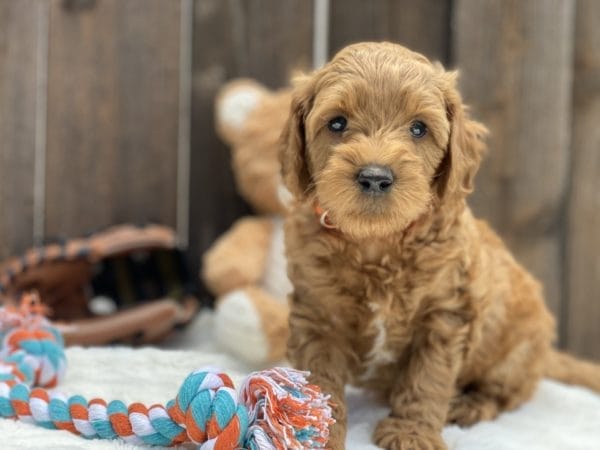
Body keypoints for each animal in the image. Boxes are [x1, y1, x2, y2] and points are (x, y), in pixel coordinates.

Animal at [278, 40, 600, 448]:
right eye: (337, 123)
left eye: (419, 128)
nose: (375, 176)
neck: (377, 242)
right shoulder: (318, 315)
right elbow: (318, 380)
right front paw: (313, 433)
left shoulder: (446, 313)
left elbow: (427, 377)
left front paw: (411, 432)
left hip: (517, 350)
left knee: (504, 393)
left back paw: (469, 405)